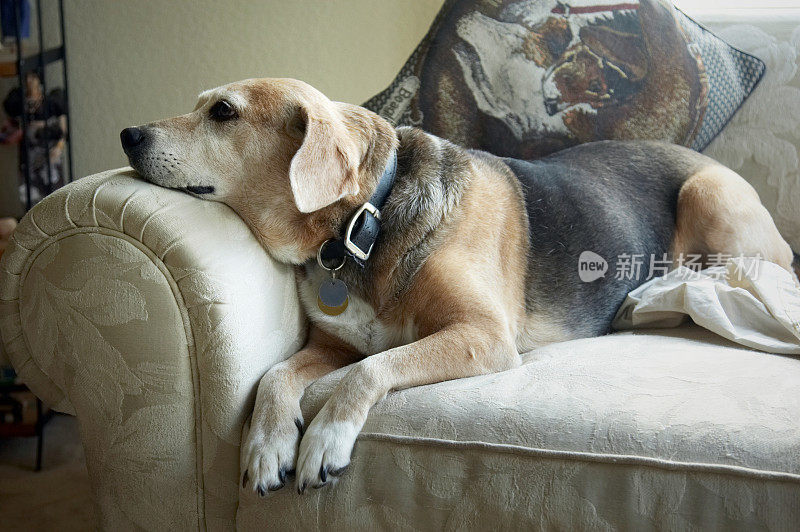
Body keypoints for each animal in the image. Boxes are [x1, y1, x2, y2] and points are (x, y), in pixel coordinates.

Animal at [119, 77, 792, 496]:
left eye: (223, 112)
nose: (127, 134)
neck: (366, 222)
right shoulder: (335, 344)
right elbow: (276, 375)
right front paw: (265, 447)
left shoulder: (484, 336)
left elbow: (372, 369)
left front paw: (325, 440)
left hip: (709, 195)